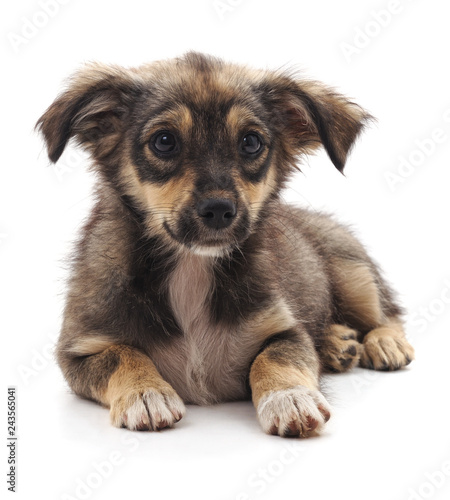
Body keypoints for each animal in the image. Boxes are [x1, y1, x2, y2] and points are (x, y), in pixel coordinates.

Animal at [37, 51, 414, 438]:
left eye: (251, 142)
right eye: (164, 141)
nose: (218, 210)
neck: (191, 267)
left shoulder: (285, 330)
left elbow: (274, 358)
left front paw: (289, 397)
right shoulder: (79, 350)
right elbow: (124, 355)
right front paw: (146, 393)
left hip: (353, 273)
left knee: (388, 312)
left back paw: (383, 342)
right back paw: (338, 342)